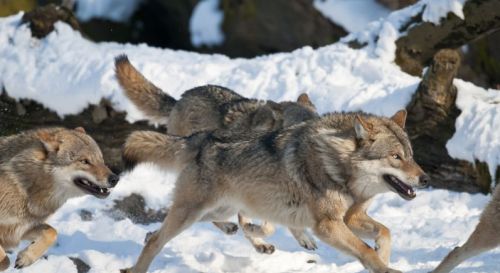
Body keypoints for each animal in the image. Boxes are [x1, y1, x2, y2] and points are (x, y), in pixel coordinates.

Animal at [0, 126, 118, 268]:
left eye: (101, 160)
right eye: (84, 161)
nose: (115, 179)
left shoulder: (22, 229)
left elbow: (52, 233)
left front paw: (26, 257)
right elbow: (5, 262)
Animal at [120, 109, 430, 272]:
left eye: (411, 156)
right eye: (395, 157)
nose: (426, 179)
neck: (339, 166)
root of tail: (202, 138)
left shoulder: (350, 218)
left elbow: (385, 233)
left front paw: (383, 256)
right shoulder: (327, 225)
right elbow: (364, 249)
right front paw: (383, 266)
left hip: (220, 208)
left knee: (218, 223)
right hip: (192, 212)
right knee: (156, 240)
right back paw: (137, 266)